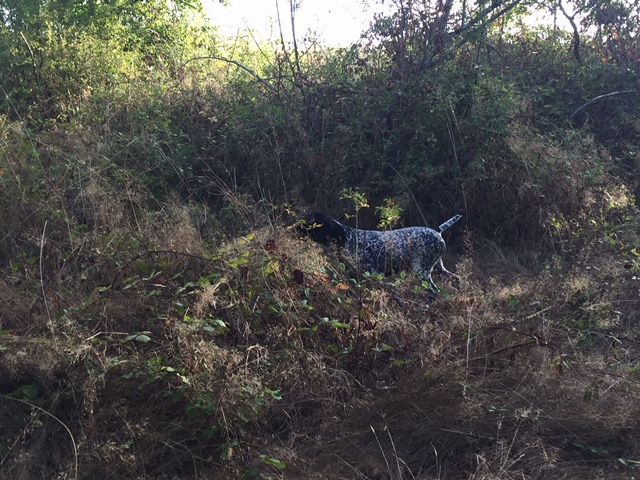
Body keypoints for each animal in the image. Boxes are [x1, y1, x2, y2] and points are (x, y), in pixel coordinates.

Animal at [298, 213, 462, 292]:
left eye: (313, 223)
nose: (296, 227)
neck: (348, 238)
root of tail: (438, 232)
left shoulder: (374, 275)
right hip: (439, 269)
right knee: (456, 279)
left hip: (421, 271)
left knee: (434, 293)